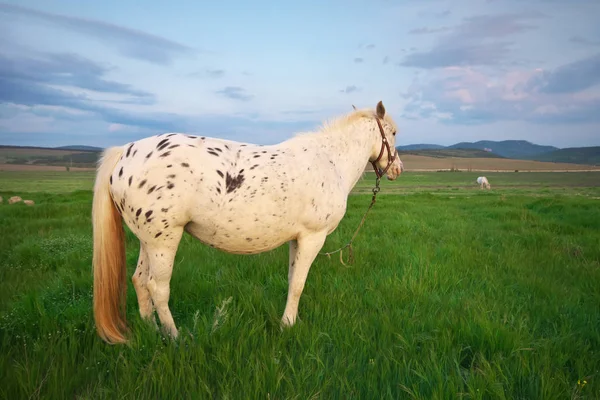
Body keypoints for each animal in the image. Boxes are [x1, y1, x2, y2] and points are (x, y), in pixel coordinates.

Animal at [92, 101, 404, 344]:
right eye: (393, 133)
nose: (398, 169)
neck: (329, 161)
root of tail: (125, 152)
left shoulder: (297, 238)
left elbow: (292, 279)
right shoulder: (313, 237)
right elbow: (299, 283)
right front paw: (288, 326)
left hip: (147, 239)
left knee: (139, 281)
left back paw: (152, 330)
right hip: (164, 240)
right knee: (157, 288)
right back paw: (175, 337)